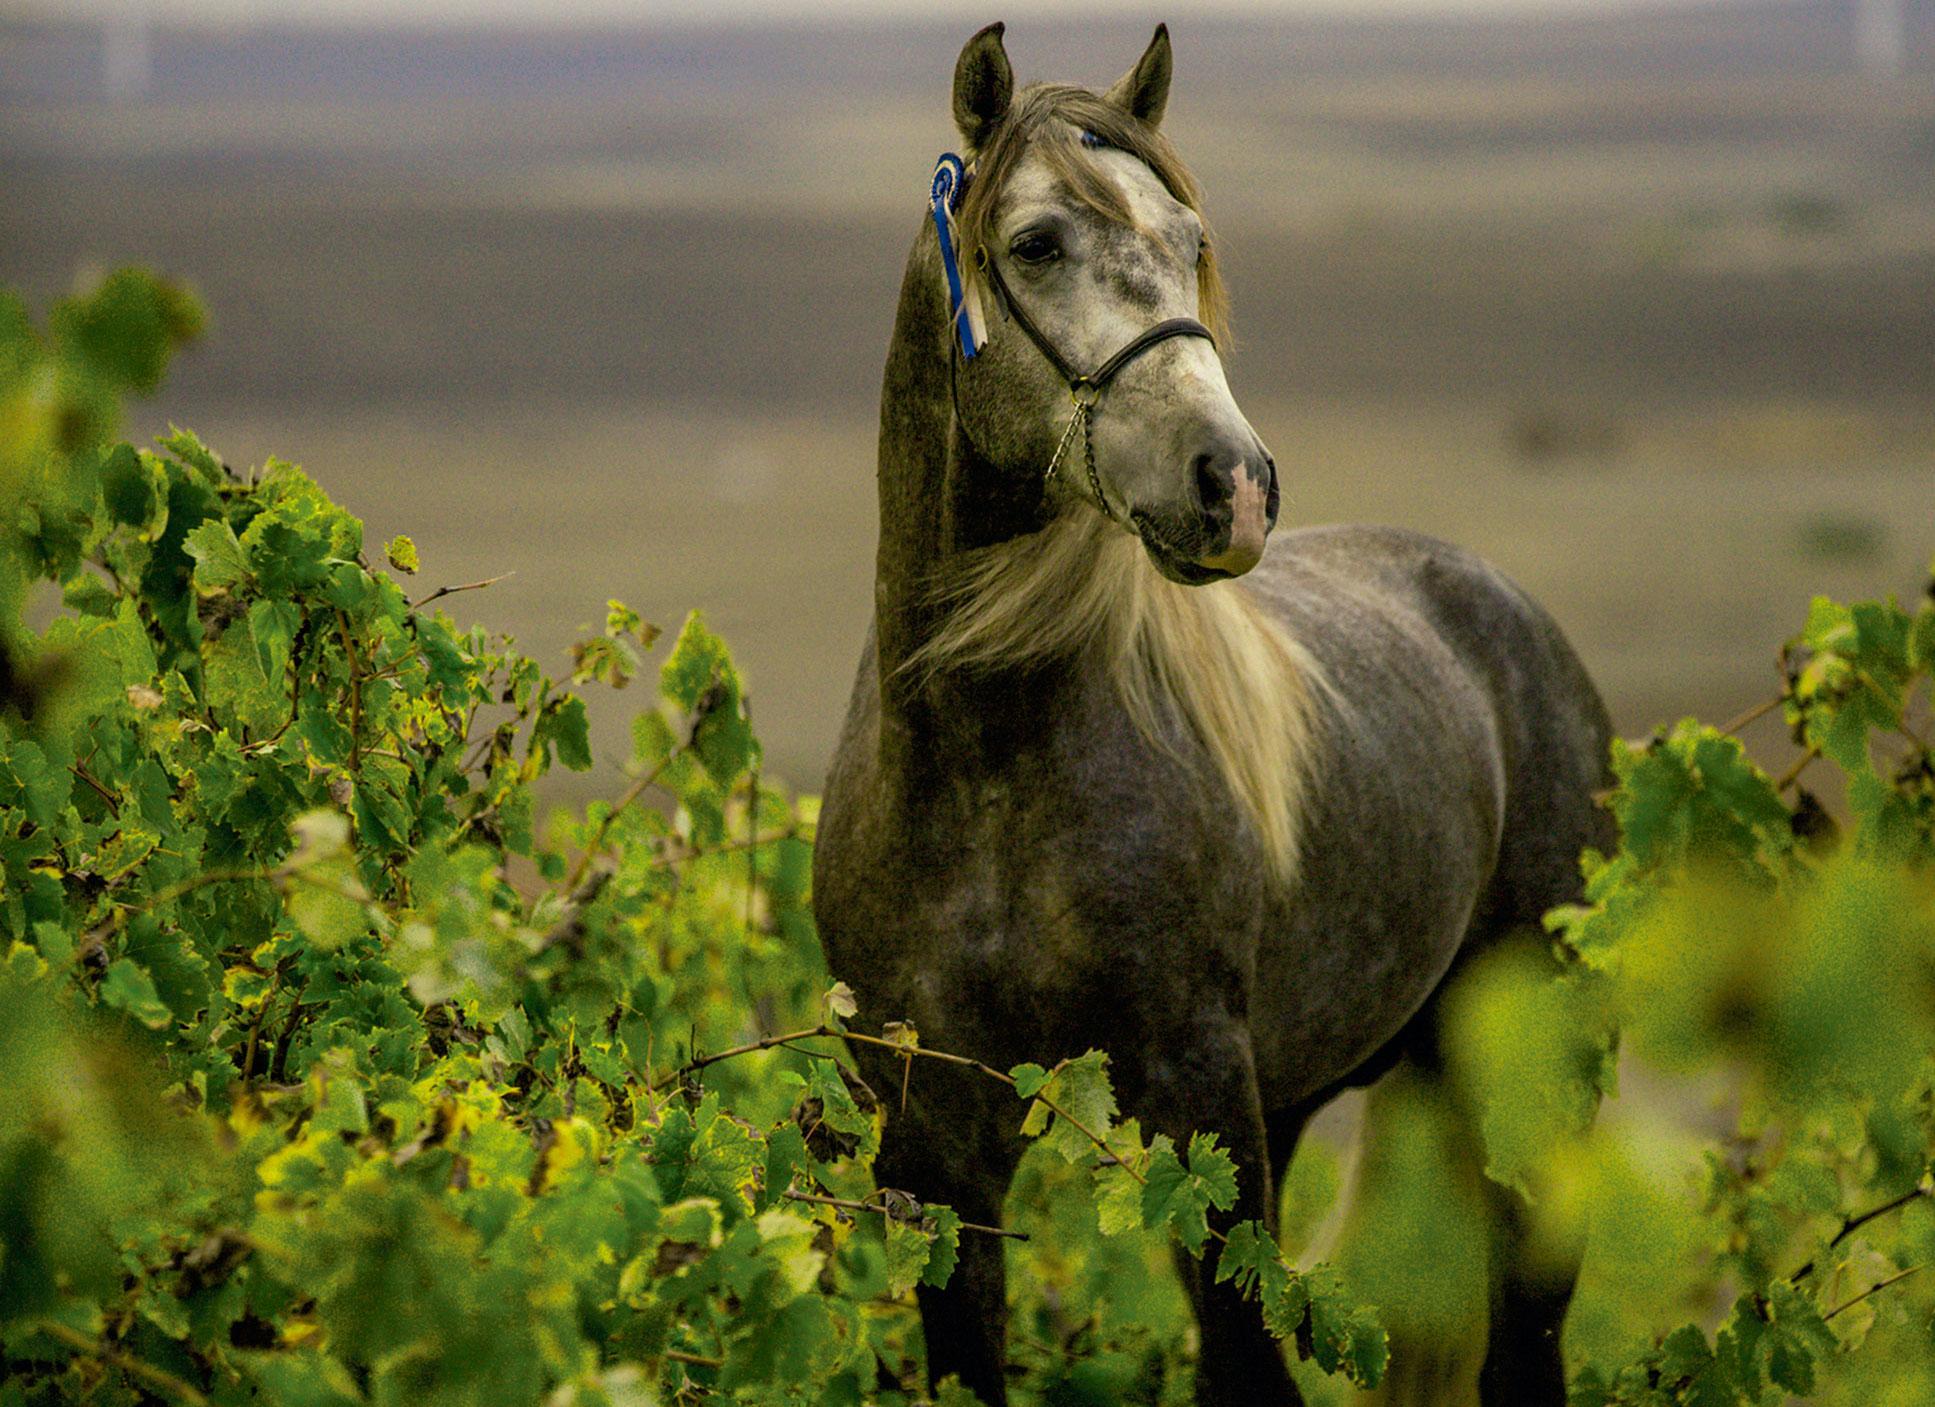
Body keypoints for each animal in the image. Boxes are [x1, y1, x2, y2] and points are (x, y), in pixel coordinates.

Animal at [816, 24, 1617, 1407]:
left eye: (1192, 239)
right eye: (1037, 243)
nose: (1233, 484)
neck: (987, 776)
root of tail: (1510, 615)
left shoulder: (1196, 1101)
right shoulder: (936, 1154)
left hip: (1523, 1097)